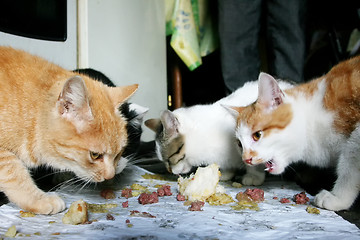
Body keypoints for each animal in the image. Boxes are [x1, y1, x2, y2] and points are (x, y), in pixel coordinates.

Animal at [231, 56, 360, 210]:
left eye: (257, 135)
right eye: (239, 144)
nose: (246, 159)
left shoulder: (357, 134)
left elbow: (350, 162)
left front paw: (339, 197)